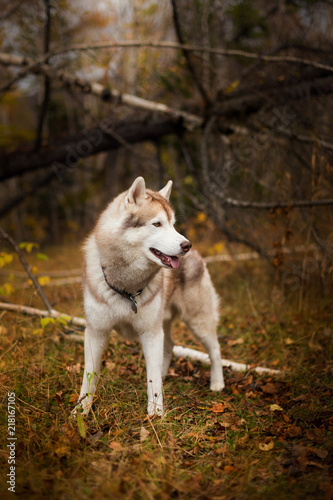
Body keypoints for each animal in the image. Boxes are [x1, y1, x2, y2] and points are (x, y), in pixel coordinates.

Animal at [78, 178, 223, 416]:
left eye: (173, 224)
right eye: (157, 224)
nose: (186, 245)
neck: (126, 288)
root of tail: (198, 254)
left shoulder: (150, 332)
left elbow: (152, 377)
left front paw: (155, 413)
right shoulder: (96, 332)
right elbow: (89, 377)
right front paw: (80, 410)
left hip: (197, 322)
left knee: (215, 349)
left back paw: (218, 382)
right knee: (170, 345)